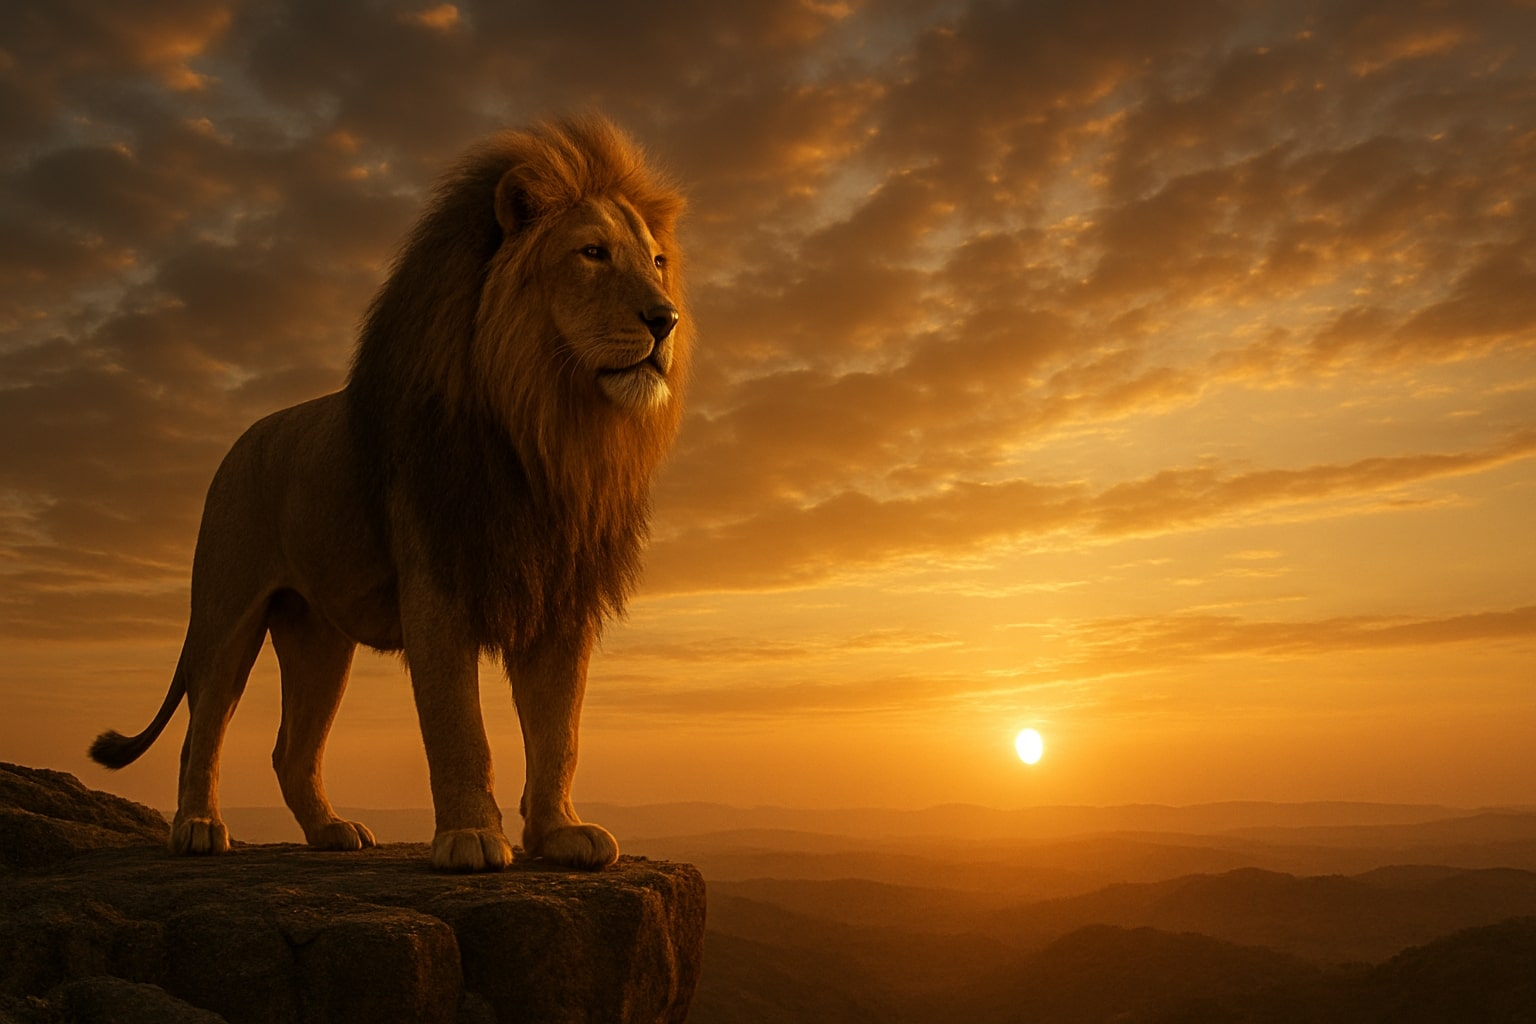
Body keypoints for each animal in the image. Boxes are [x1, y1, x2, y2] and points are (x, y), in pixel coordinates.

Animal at [89, 115, 691, 872]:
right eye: (592, 253)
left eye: (658, 262)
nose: (666, 319)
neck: (547, 430)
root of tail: (242, 440)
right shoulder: (438, 586)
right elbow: (460, 728)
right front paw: (471, 838)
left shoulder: (557, 596)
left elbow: (561, 733)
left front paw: (559, 833)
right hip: (226, 615)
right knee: (203, 732)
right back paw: (197, 827)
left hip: (318, 639)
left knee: (290, 751)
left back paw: (329, 832)